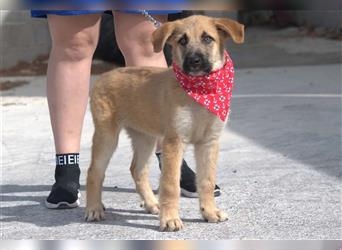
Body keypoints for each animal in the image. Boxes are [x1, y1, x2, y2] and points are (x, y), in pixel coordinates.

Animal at [86, 14, 246, 231]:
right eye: (182, 41)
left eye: (207, 38)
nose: (194, 61)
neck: (200, 92)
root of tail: (105, 75)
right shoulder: (175, 141)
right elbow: (171, 185)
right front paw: (170, 219)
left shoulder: (209, 142)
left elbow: (207, 180)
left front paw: (210, 212)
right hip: (107, 136)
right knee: (94, 171)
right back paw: (94, 208)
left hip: (145, 137)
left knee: (137, 169)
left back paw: (152, 203)